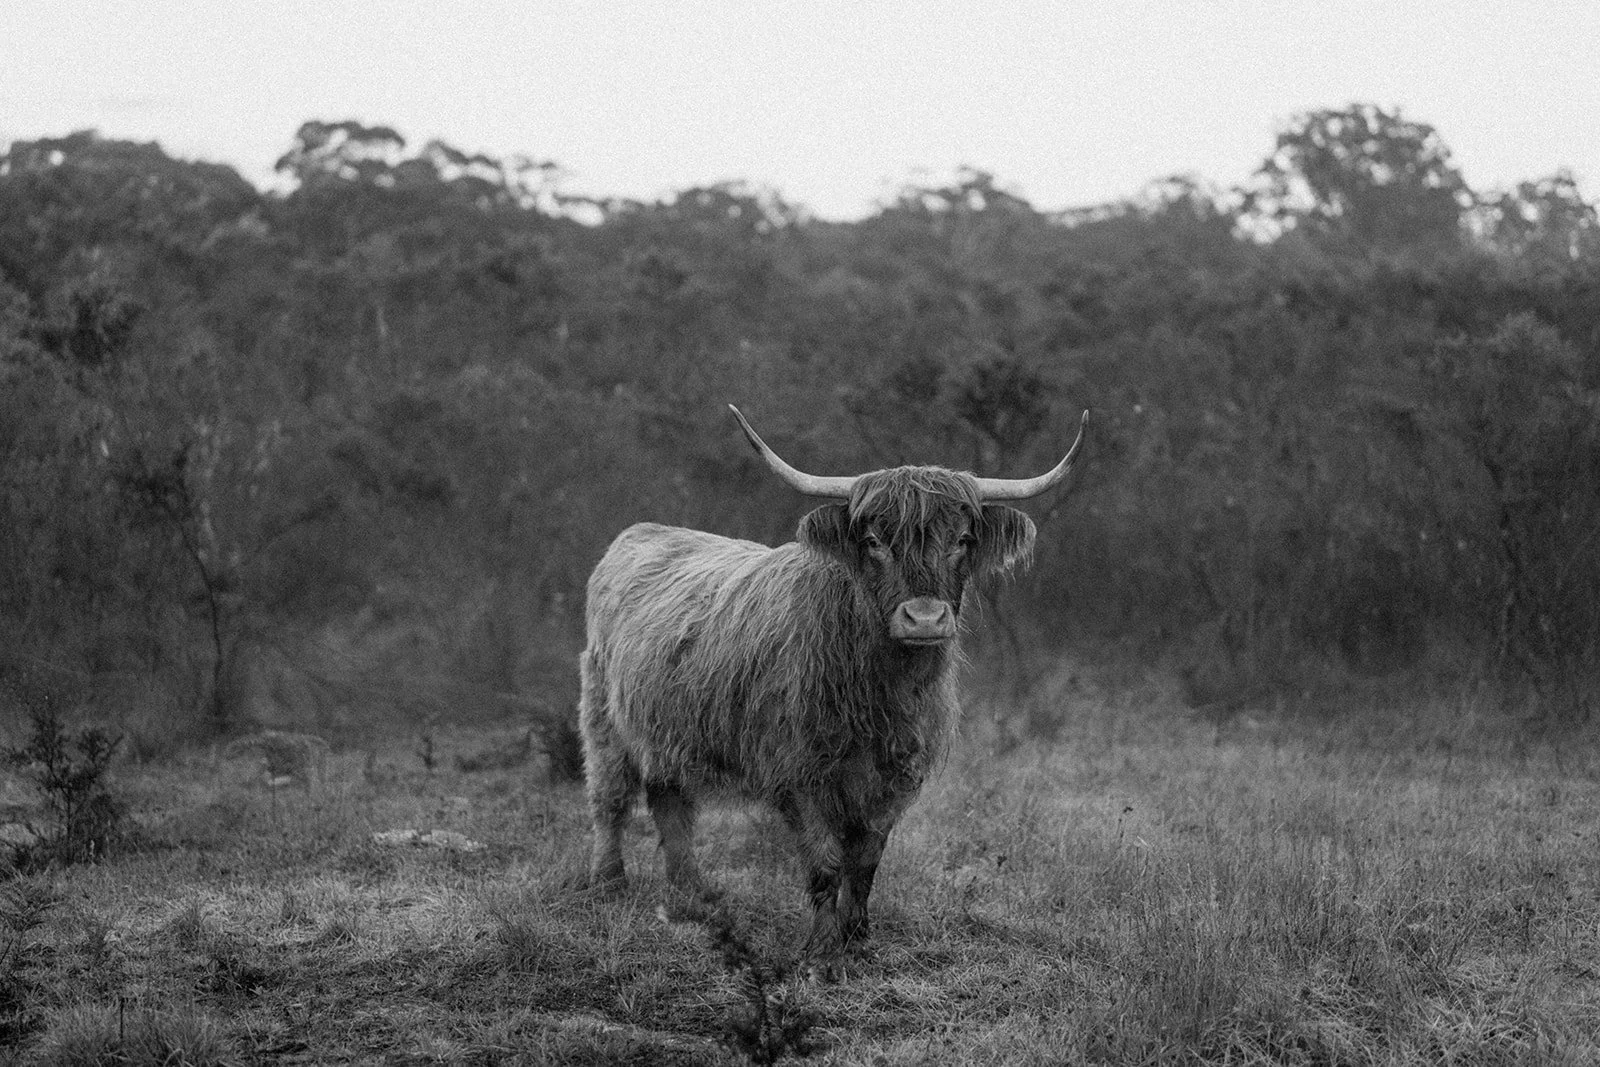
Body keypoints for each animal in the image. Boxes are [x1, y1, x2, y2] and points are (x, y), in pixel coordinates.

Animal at [579, 404, 1087, 975]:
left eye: (962, 539)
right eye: (873, 541)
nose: (924, 618)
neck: (880, 692)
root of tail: (640, 532)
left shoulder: (895, 777)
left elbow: (865, 861)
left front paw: (858, 938)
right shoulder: (800, 774)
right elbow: (824, 861)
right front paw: (822, 954)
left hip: (669, 729)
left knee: (671, 802)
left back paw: (692, 897)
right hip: (602, 714)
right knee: (610, 797)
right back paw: (608, 884)